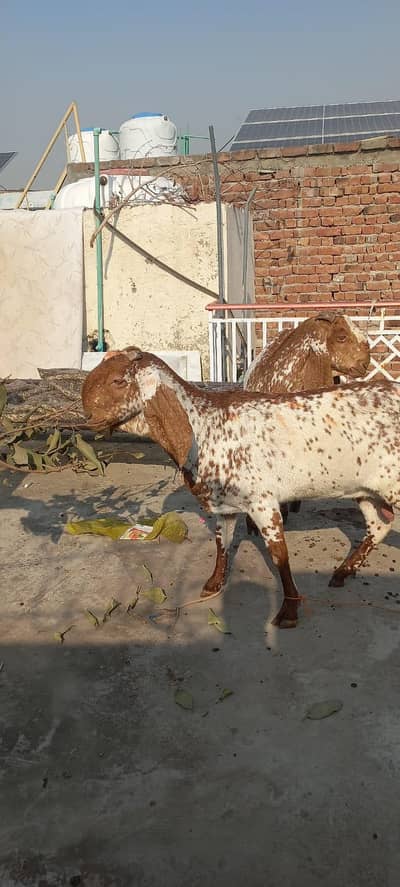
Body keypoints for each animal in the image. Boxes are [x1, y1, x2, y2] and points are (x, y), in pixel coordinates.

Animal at [82, 348, 398, 629]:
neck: (205, 424)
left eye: (118, 381)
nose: (87, 416)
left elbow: (279, 555)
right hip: (365, 490)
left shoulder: (263, 502)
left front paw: (289, 611)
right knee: (378, 525)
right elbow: (222, 543)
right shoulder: (226, 505)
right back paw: (343, 572)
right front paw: (213, 584)